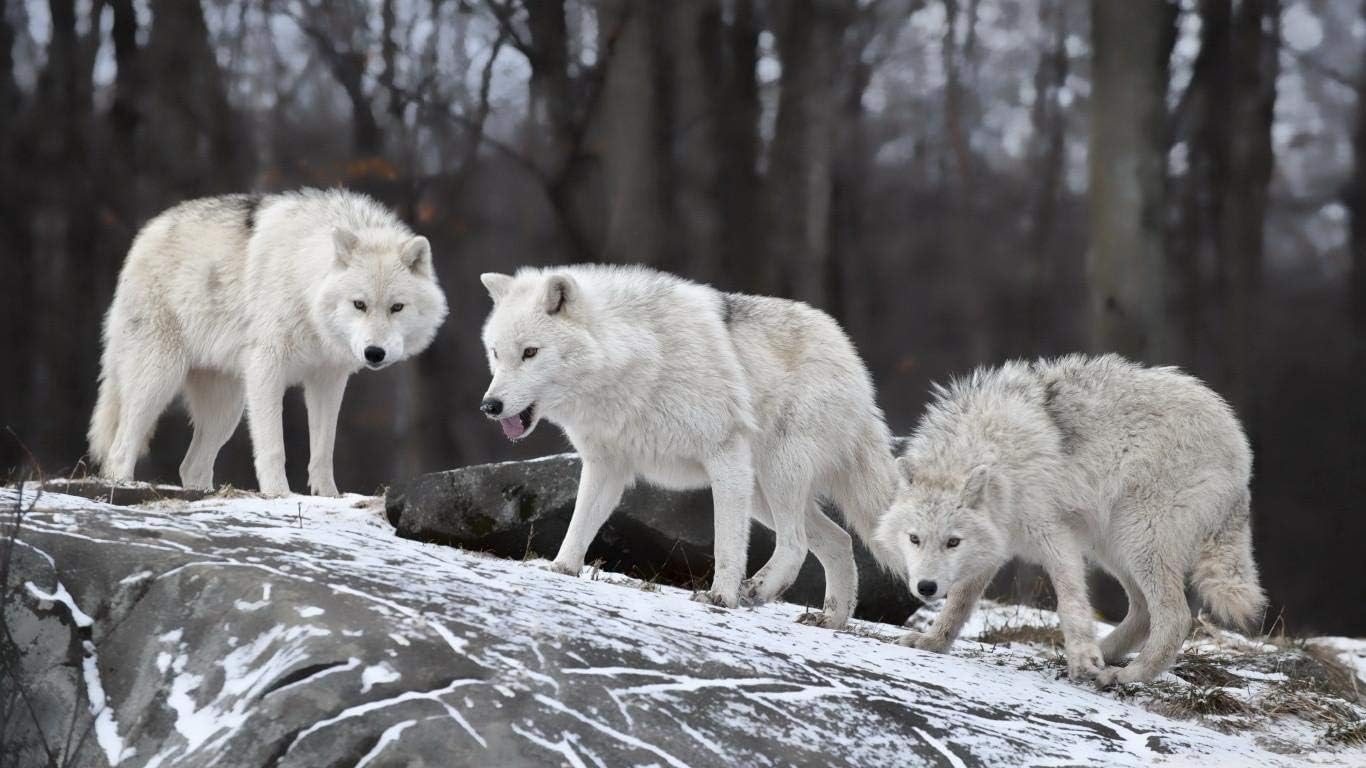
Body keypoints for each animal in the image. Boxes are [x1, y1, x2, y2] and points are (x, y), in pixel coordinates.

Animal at [89, 189, 448, 496]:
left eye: (397, 307)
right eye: (359, 304)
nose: (374, 353)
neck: (304, 281)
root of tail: (146, 233)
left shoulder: (328, 379)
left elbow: (323, 450)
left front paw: (328, 496)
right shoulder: (267, 368)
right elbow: (274, 447)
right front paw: (278, 494)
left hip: (226, 408)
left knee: (191, 466)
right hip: (160, 380)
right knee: (120, 450)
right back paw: (122, 486)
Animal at [476, 265, 897, 627]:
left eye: (530, 352)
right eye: (496, 353)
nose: (489, 406)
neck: (636, 360)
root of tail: (851, 356)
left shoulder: (725, 455)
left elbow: (727, 543)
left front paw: (721, 597)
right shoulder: (606, 466)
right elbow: (579, 525)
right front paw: (561, 570)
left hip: (775, 476)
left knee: (796, 543)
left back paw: (758, 591)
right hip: (761, 492)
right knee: (839, 540)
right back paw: (831, 620)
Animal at [874, 354, 1265, 685]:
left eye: (952, 542)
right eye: (914, 539)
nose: (925, 588)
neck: (998, 456)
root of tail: (1240, 446)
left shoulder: (1055, 536)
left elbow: (1071, 603)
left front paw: (1083, 659)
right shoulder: (995, 545)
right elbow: (959, 603)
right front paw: (933, 642)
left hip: (1137, 540)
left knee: (1175, 618)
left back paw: (1127, 675)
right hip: (1112, 546)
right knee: (1142, 613)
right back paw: (1102, 656)